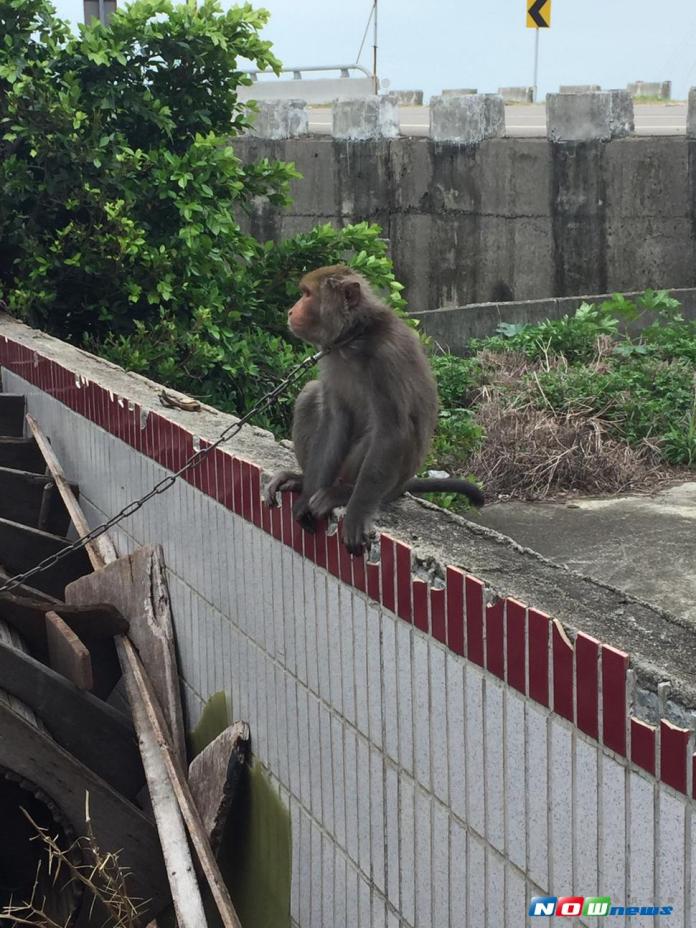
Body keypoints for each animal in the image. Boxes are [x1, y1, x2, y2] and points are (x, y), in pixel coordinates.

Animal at [266, 264, 484, 556]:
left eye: (307, 294)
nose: (291, 311)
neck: (353, 339)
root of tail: (400, 487)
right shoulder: (330, 358)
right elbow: (334, 420)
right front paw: (305, 498)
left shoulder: (385, 360)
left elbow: (392, 432)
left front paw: (356, 514)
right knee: (311, 393)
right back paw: (303, 480)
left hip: (389, 482)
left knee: (382, 433)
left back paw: (343, 492)